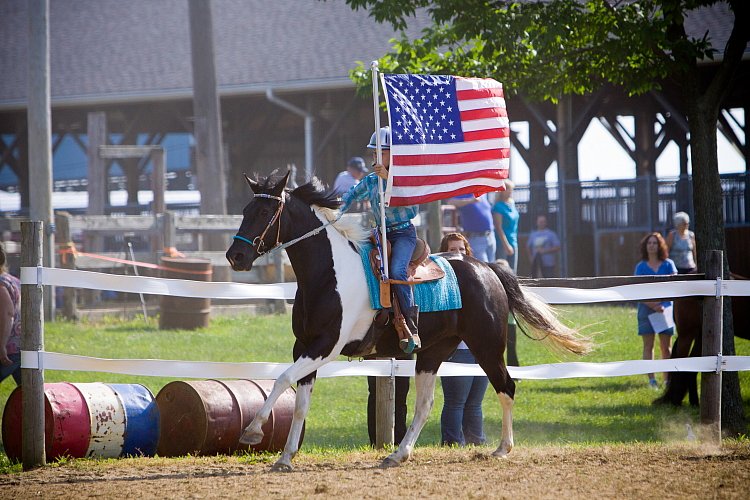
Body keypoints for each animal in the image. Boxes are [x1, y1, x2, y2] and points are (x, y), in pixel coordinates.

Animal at [226, 171, 592, 468]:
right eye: (244, 211)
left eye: (264, 212)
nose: (235, 256)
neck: (328, 274)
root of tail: (487, 268)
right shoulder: (303, 345)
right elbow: (300, 402)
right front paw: (285, 457)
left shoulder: (326, 346)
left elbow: (281, 379)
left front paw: (252, 431)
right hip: (433, 352)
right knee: (425, 403)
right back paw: (398, 453)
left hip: (487, 346)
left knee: (506, 386)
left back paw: (503, 448)